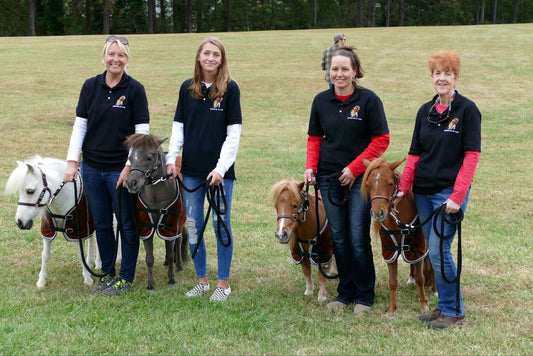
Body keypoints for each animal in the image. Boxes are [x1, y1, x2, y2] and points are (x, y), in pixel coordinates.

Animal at [6, 156, 101, 290]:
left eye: (30, 191)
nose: (19, 222)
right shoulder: (48, 231)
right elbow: (45, 255)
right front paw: (41, 281)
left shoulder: (79, 231)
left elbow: (81, 254)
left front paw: (87, 279)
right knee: (92, 239)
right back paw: (90, 263)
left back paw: (98, 264)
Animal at [123, 134, 188, 290]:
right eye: (131, 158)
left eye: (149, 157)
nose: (131, 183)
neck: (156, 196)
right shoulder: (147, 227)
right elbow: (149, 258)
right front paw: (150, 284)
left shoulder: (171, 226)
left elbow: (171, 253)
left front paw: (171, 279)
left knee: (179, 240)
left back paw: (179, 265)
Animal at [360, 157, 434, 316]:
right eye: (368, 185)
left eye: (390, 183)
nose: (378, 213)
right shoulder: (390, 251)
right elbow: (392, 281)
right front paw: (392, 308)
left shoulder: (419, 248)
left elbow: (421, 278)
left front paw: (424, 305)